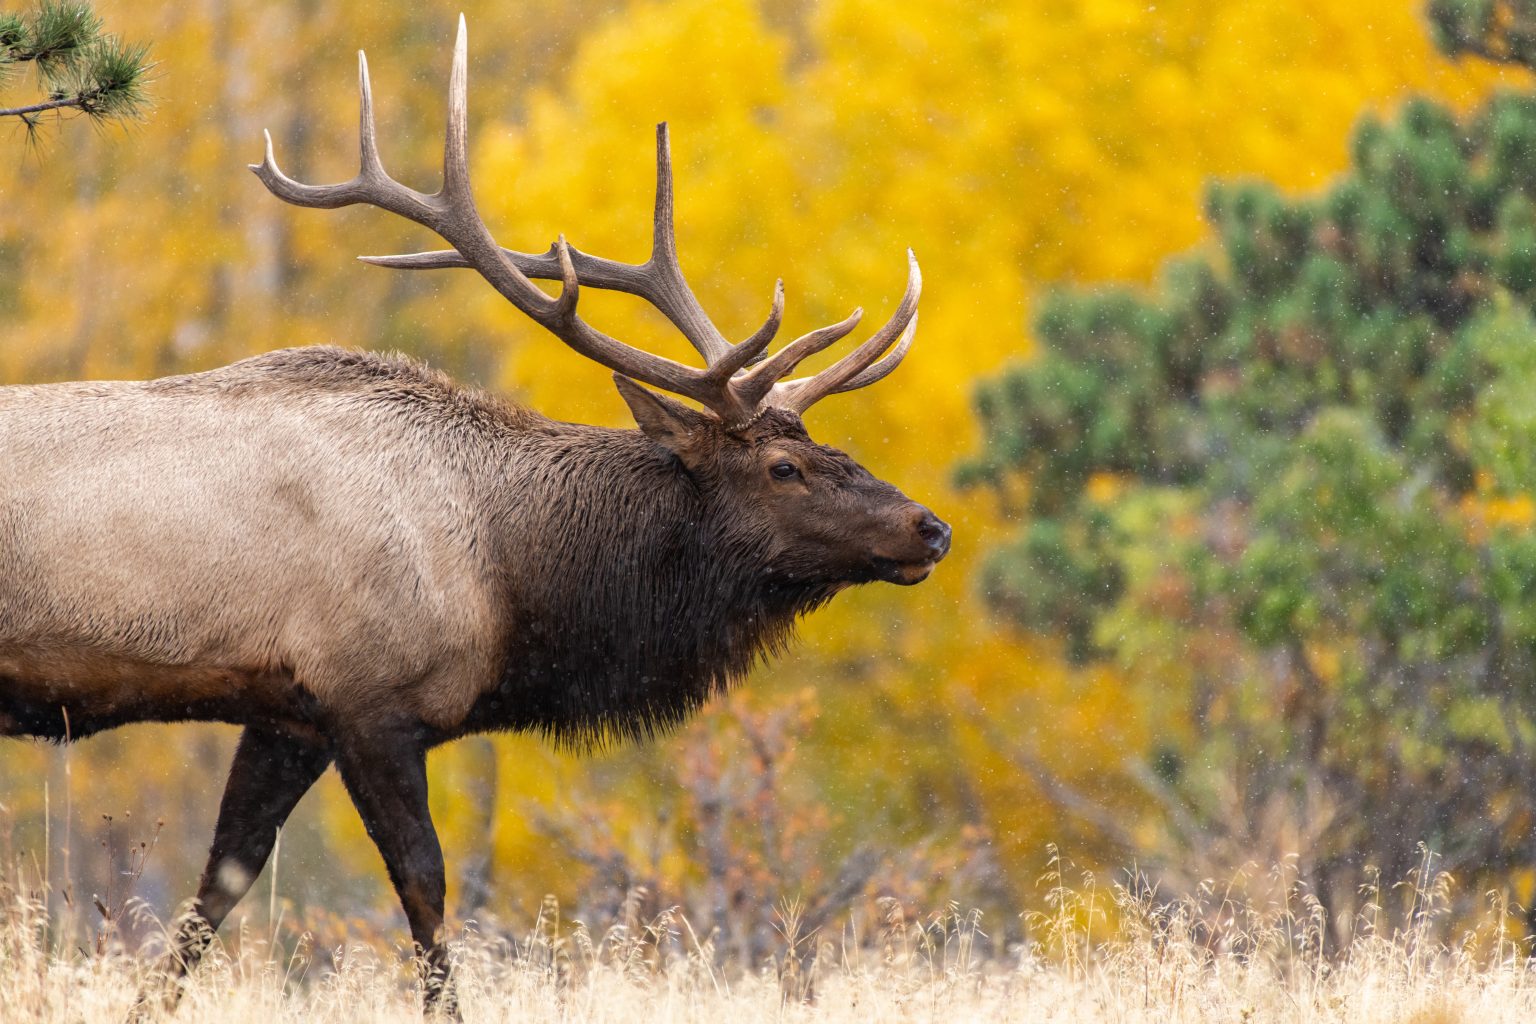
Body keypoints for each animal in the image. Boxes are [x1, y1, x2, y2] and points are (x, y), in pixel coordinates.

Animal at [0, 16, 946, 1019]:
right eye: (782, 467)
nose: (930, 527)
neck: (507, 580)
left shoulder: (289, 710)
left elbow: (221, 880)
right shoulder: (371, 697)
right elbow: (424, 885)